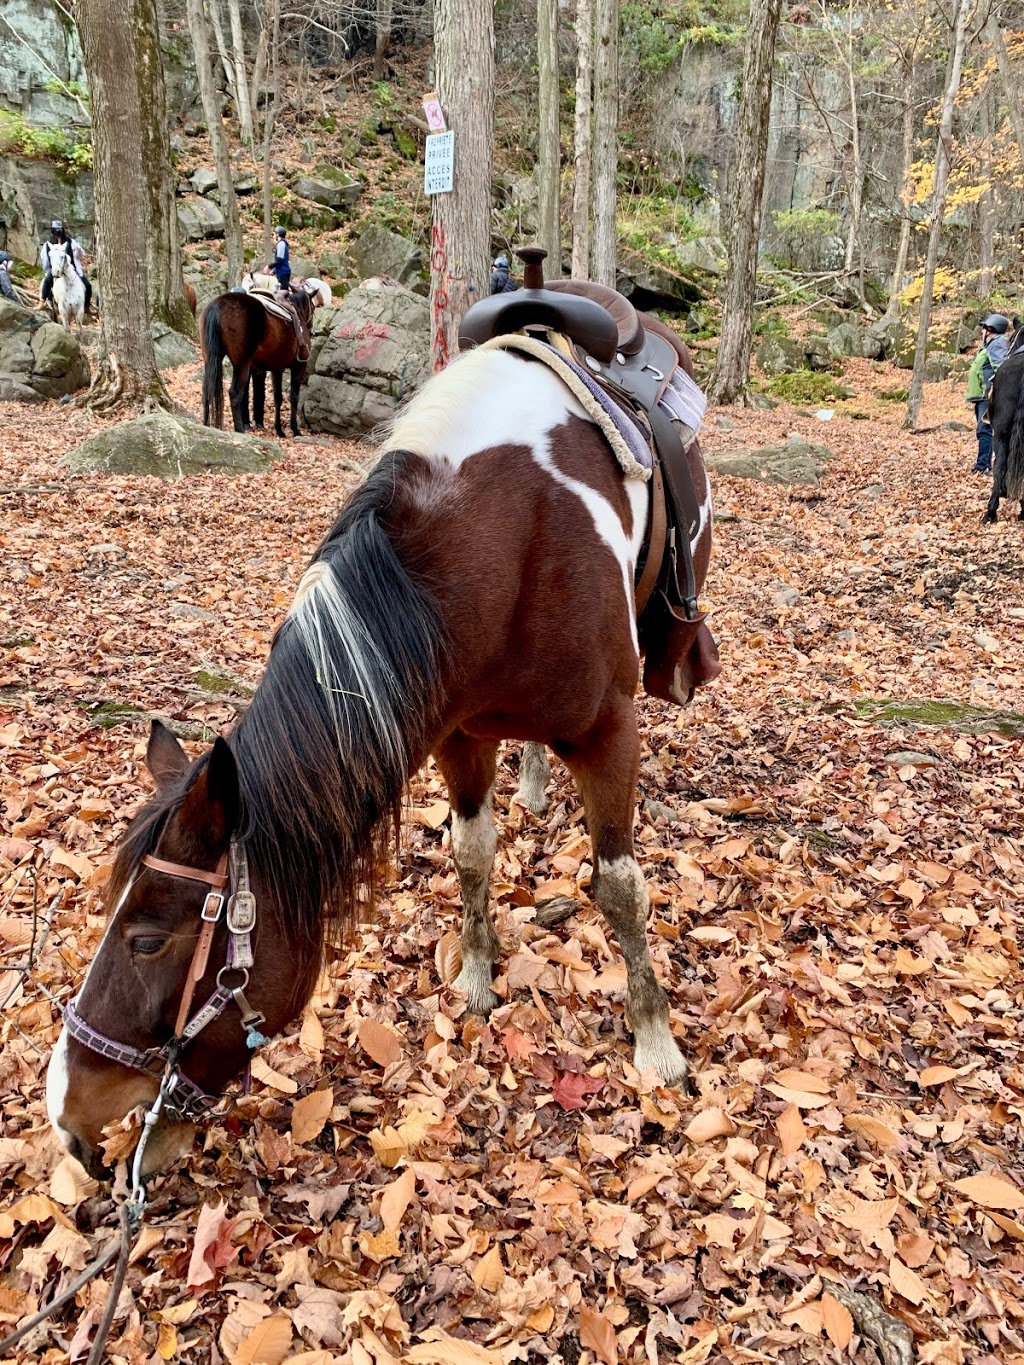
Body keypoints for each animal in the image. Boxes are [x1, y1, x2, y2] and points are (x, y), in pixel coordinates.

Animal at [48, 346, 715, 1179]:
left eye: (146, 940)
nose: (68, 1119)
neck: (512, 548)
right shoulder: (458, 731)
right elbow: (472, 852)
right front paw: (477, 975)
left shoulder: (610, 731)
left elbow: (622, 889)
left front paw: (656, 1041)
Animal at [202, 282, 319, 436]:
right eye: (313, 307)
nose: (311, 329)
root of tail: (216, 305)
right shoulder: (299, 367)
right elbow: (294, 397)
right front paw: (294, 429)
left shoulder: (277, 369)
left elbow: (277, 398)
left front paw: (279, 430)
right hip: (241, 365)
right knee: (234, 393)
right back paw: (239, 429)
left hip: (209, 360)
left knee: (207, 391)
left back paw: (206, 424)